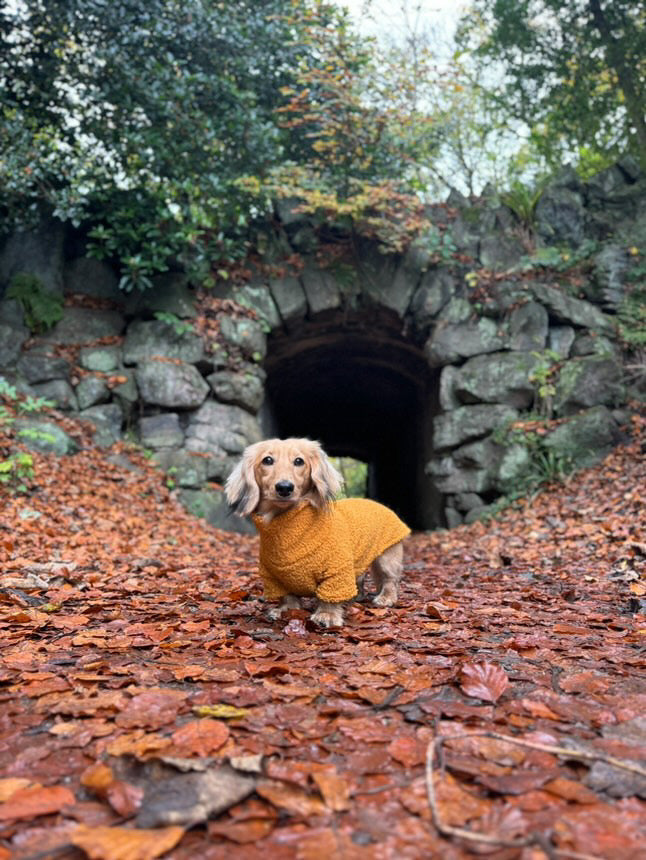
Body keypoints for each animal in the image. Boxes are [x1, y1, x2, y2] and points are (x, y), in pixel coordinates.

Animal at [225, 440, 412, 628]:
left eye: (299, 461)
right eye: (267, 460)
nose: (284, 487)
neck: (288, 527)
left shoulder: (336, 570)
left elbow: (330, 596)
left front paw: (326, 615)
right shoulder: (276, 577)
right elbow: (288, 596)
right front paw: (285, 609)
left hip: (387, 557)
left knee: (390, 579)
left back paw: (386, 598)